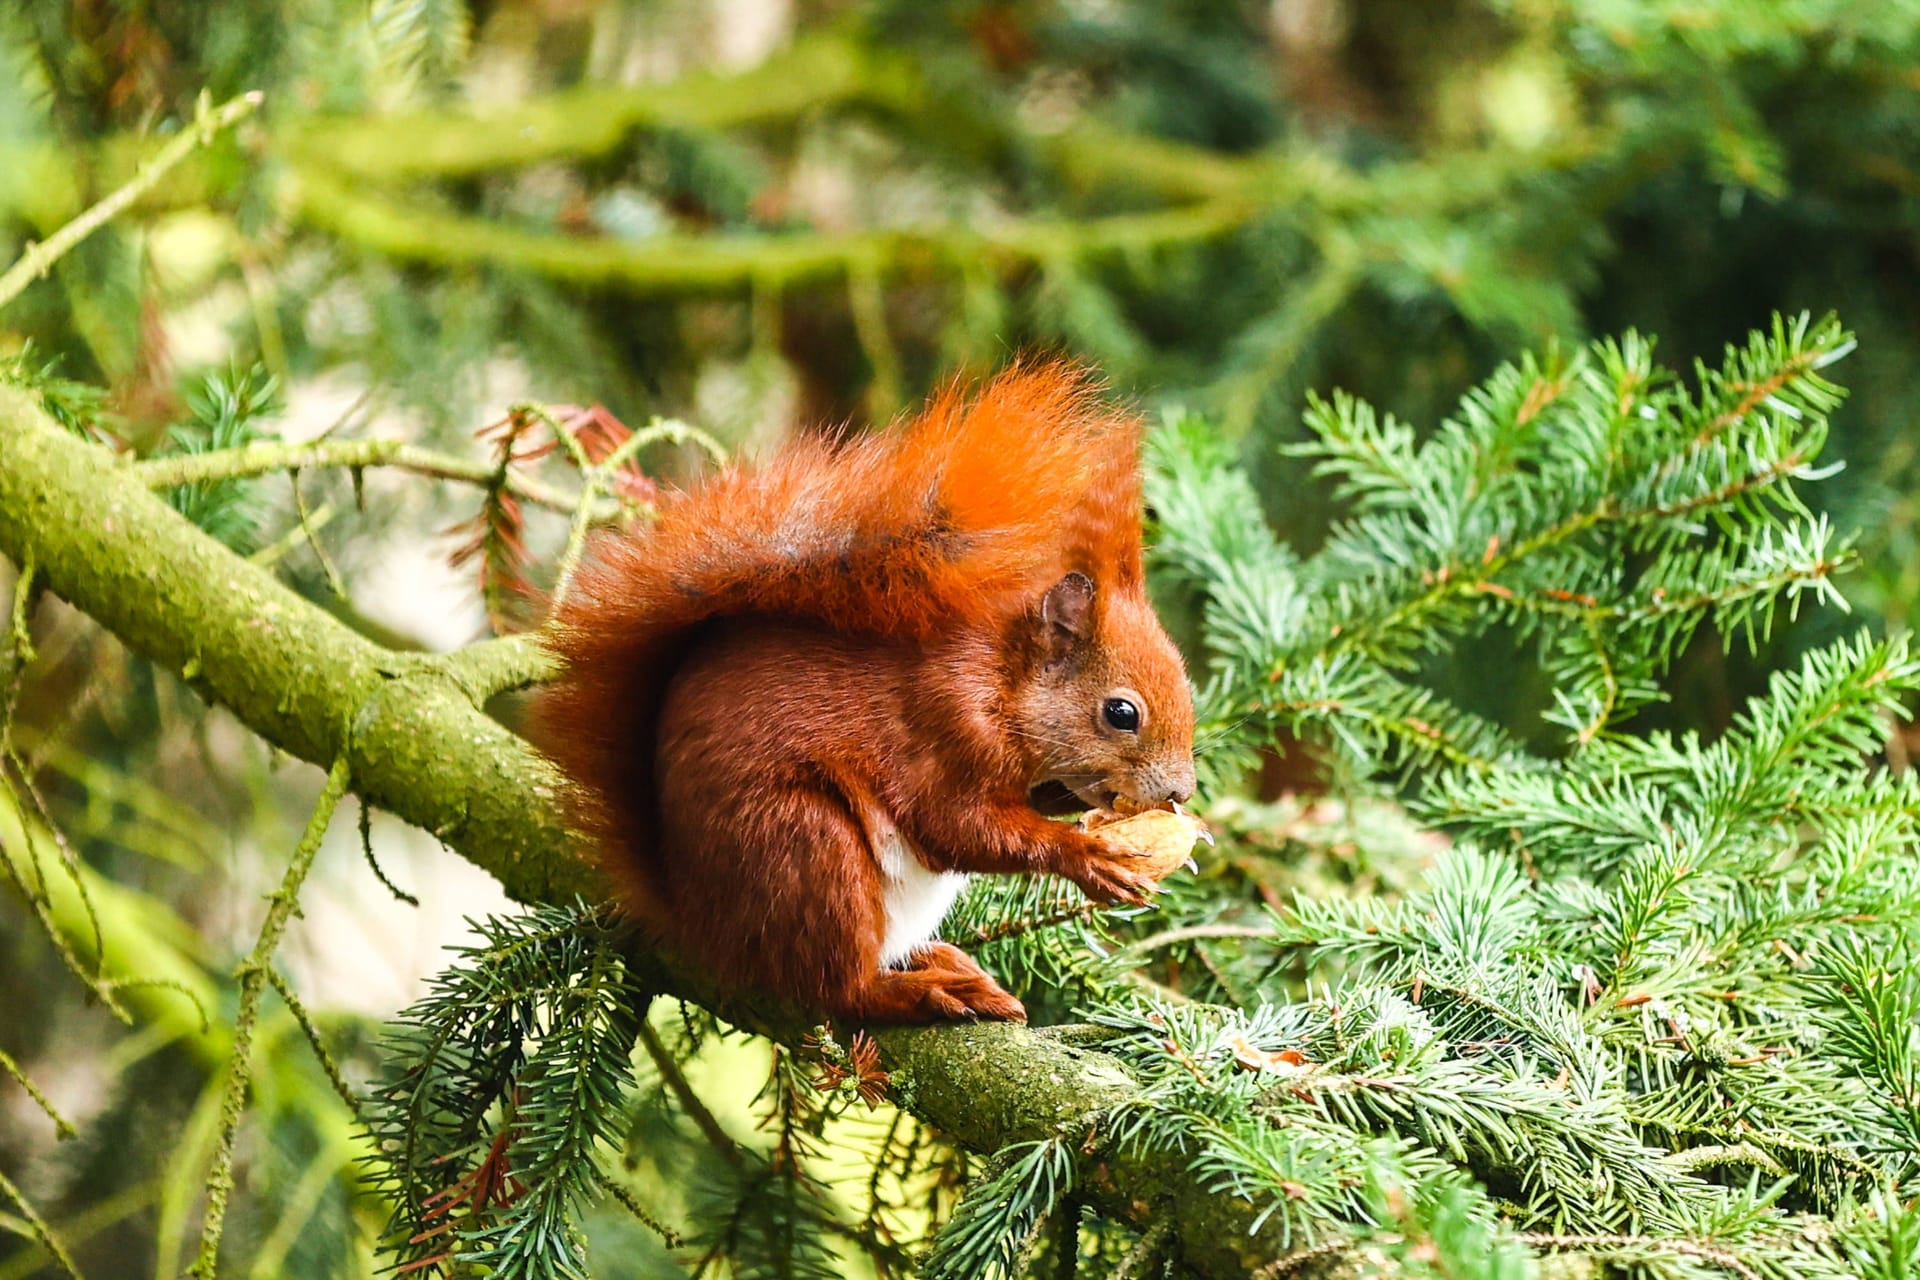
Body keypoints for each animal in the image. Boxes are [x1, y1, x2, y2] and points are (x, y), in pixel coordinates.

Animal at [526, 360, 1182, 1020]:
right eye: (1121, 713)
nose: (1181, 793)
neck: (1001, 677)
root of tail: (698, 920)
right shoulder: (943, 725)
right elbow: (957, 826)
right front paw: (1087, 857)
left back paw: (941, 962)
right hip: (807, 850)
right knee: (841, 987)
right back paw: (926, 991)